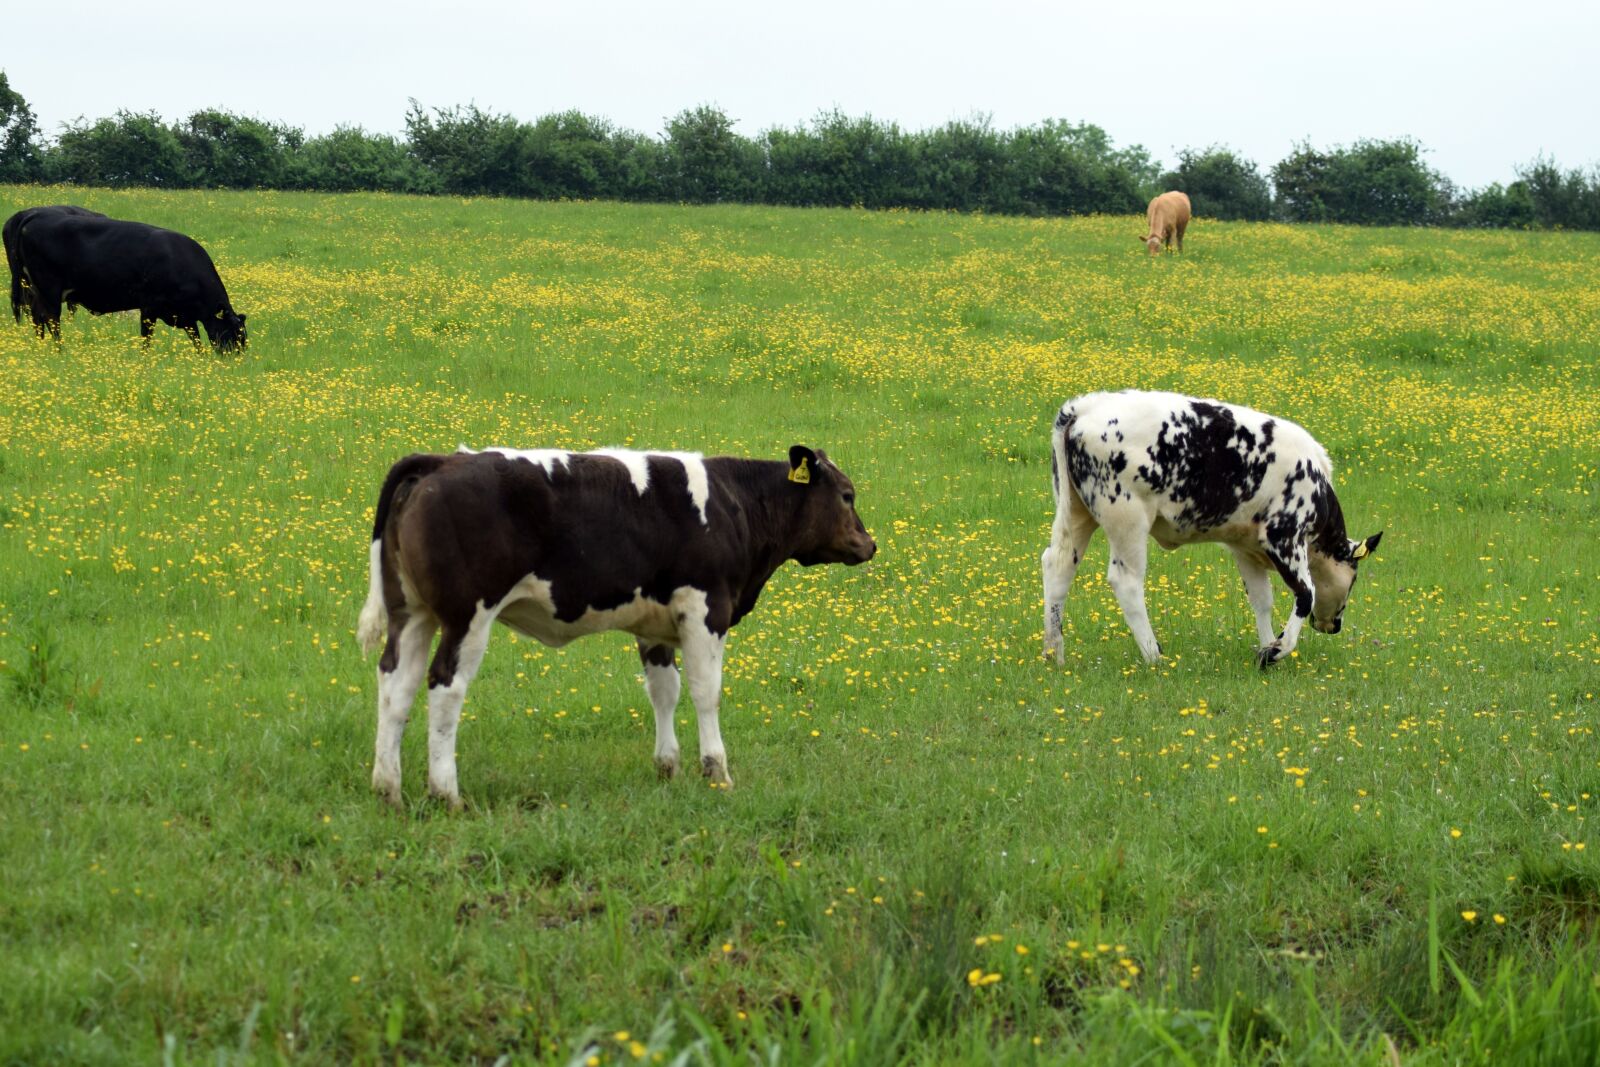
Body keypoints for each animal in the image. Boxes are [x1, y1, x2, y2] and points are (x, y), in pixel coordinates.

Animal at [13, 212, 247, 351]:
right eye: (235, 334)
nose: (235, 360)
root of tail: (35, 215)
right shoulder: (149, 306)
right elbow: (146, 337)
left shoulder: (184, 315)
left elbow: (196, 339)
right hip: (49, 289)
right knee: (51, 319)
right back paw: (60, 349)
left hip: (36, 289)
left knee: (37, 317)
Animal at [355, 444, 876, 809]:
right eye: (847, 495)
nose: (868, 544)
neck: (734, 505)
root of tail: (442, 462)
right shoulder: (706, 609)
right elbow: (706, 692)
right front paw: (716, 771)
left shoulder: (655, 624)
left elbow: (664, 692)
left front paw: (667, 768)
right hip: (467, 615)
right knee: (445, 688)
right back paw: (446, 793)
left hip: (412, 613)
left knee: (396, 685)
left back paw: (388, 789)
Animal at [1042, 391, 1381, 669]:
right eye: (1353, 578)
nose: (1334, 625)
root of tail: (1085, 407)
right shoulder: (1284, 535)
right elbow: (1305, 593)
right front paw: (1277, 650)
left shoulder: (1245, 547)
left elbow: (1262, 600)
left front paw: (1265, 646)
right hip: (1128, 518)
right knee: (1126, 581)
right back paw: (1154, 656)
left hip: (1077, 513)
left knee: (1058, 566)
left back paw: (1054, 653)